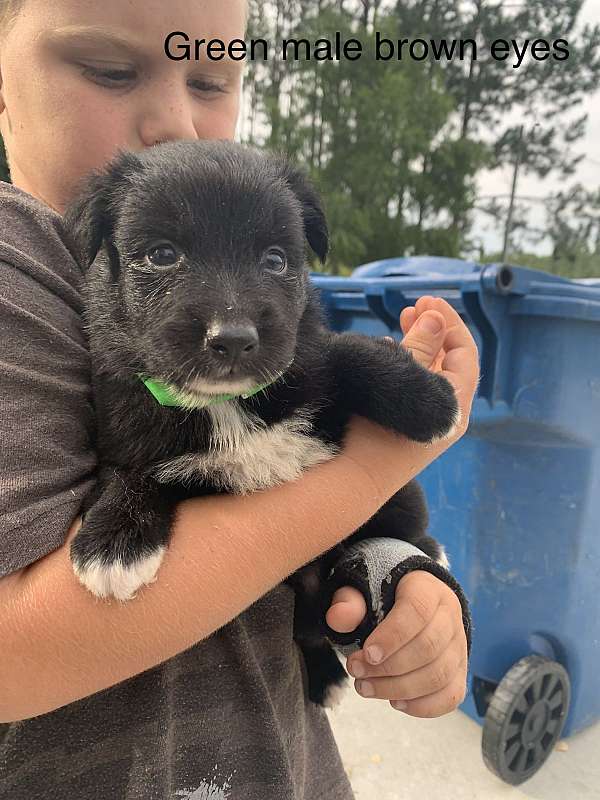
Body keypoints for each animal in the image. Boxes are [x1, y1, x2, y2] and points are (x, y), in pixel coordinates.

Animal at [63, 139, 460, 708]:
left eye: (275, 259)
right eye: (162, 254)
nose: (232, 338)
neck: (226, 404)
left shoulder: (308, 358)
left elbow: (349, 352)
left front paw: (429, 398)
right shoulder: (123, 422)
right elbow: (128, 471)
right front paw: (112, 541)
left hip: (401, 499)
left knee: (410, 521)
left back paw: (427, 557)